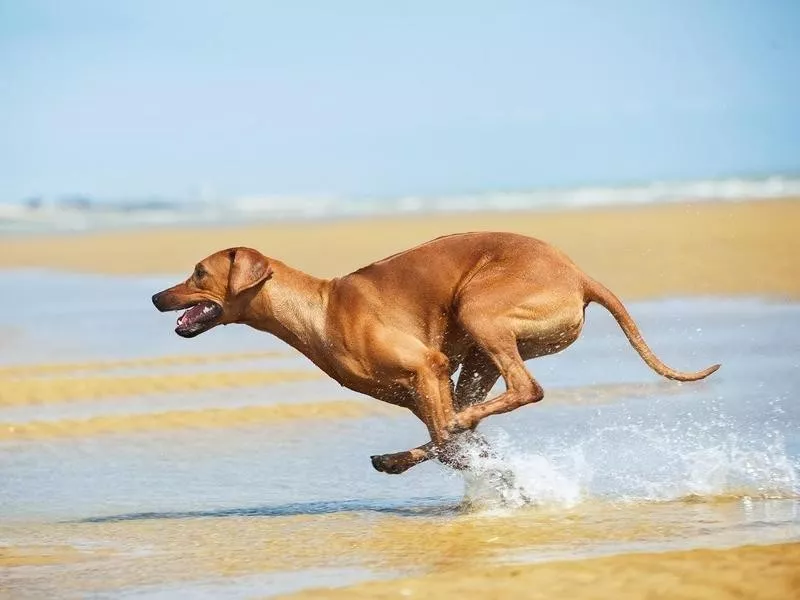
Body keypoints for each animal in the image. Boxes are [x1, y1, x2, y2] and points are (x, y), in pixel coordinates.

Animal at [150, 233, 720, 474]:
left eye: (198, 273)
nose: (156, 296)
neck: (321, 308)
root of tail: (580, 275)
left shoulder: (429, 367)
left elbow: (449, 442)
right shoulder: (427, 386)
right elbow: (453, 444)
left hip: (478, 311)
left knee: (522, 391)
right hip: (478, 358)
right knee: (471, 415)